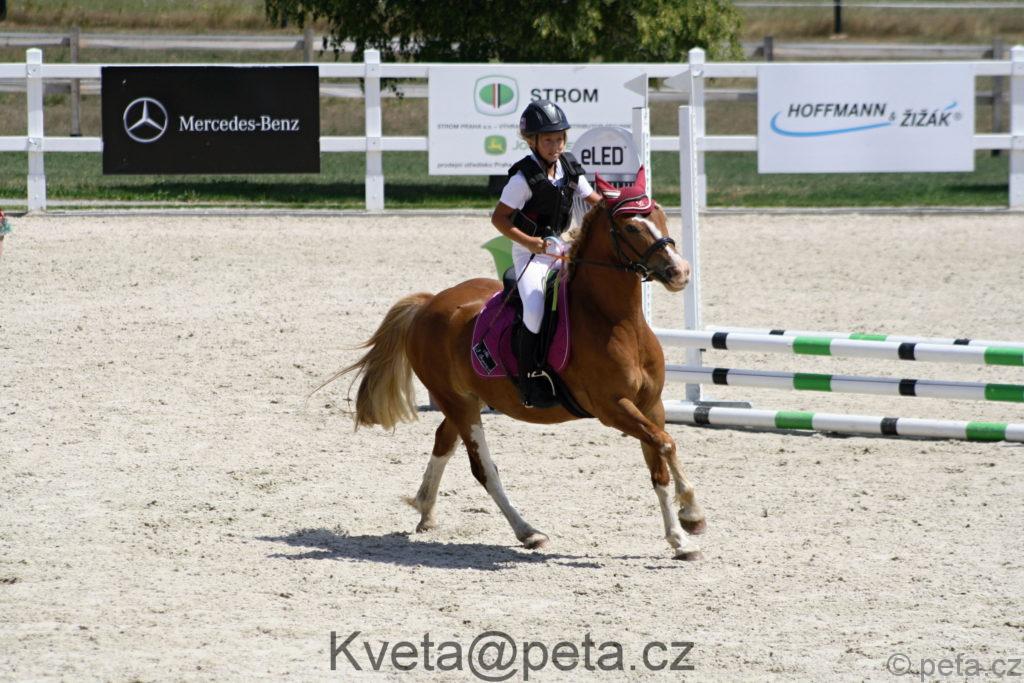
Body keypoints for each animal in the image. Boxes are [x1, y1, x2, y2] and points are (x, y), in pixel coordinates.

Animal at [326, 168, 706, 560]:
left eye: (660, 216)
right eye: (631, 227)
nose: (680, 272)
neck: (619, 322)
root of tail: (428, 303)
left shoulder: (651, 405)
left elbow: (660, 463)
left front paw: (681, 538)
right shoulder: (612, 408)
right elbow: (666, 444)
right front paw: (691, 514)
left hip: (467, 400)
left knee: (443, 441)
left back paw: (426, 510)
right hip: (459, 404)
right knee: (483, 469)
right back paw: (528, 532)